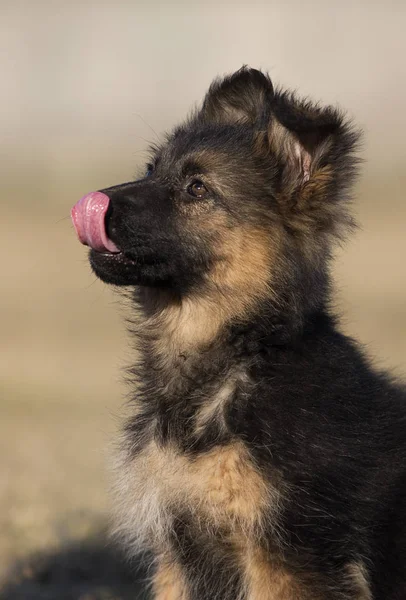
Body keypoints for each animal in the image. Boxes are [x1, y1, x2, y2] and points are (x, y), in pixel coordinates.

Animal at [71, 68, 404, 596]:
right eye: (150, 168)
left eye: (197, 188)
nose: (93, 205)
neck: (242, 352)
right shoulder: (177, 549)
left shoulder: (285, 558)